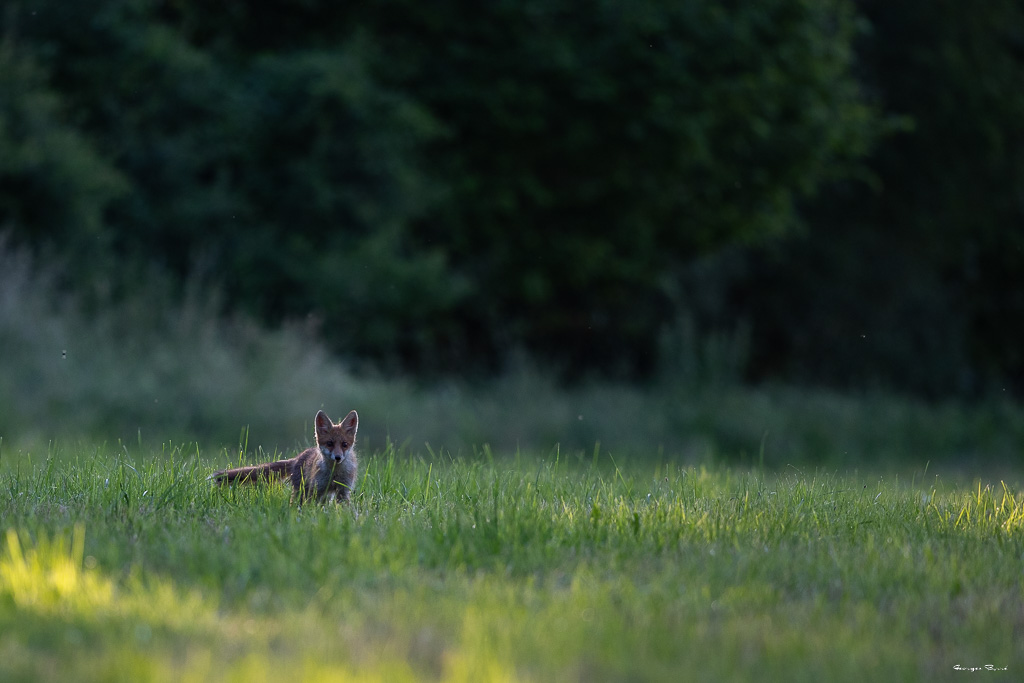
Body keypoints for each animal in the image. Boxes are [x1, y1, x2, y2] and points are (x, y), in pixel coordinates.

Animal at [210, 410, 359, 503]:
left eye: (344, 444)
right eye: (330, 443)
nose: (338, 457)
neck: (334, 474)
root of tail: (298, 457)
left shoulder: (343, 491)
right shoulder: (317, 490)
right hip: (302, 491)